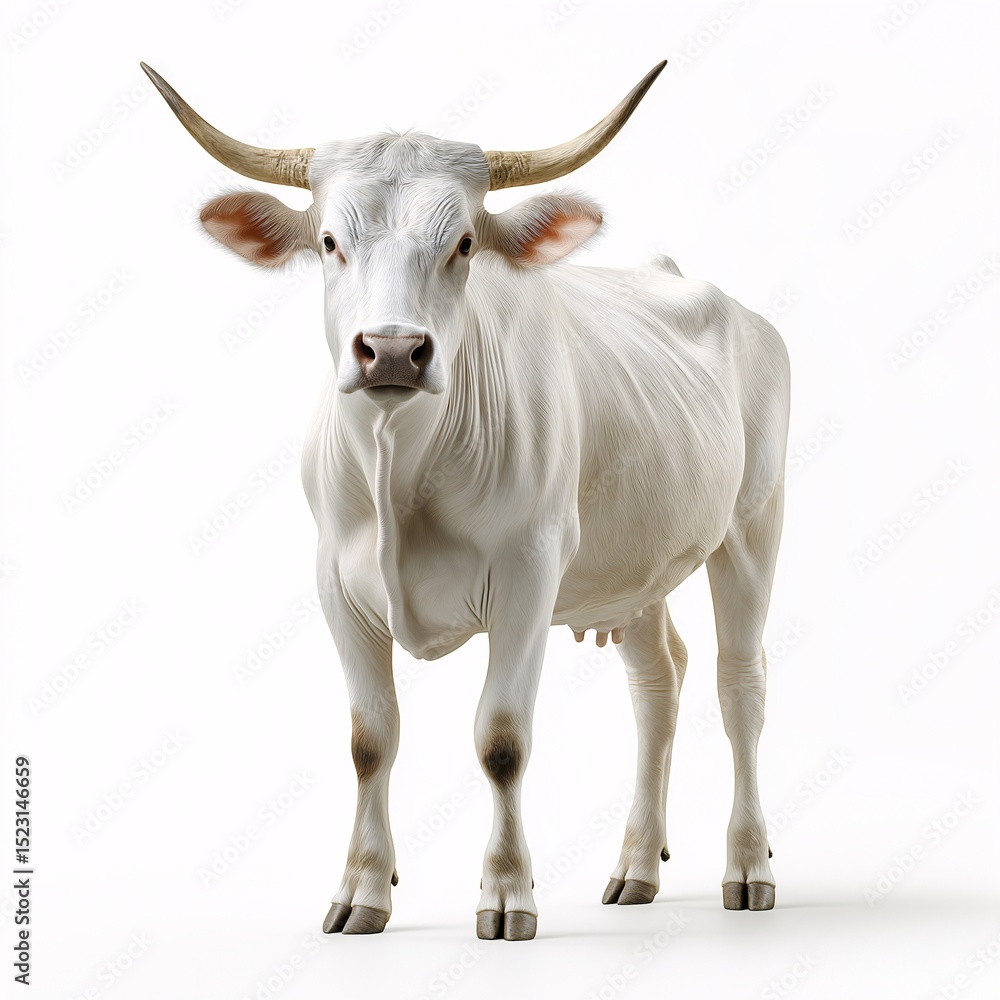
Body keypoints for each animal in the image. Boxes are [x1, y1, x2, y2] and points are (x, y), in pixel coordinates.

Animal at [143, 59, 790, 941]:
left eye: (464, 244)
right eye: (329, 242)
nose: (391, 350)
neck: (400, 474)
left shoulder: (529, 574)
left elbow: (501, 739)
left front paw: (508, 893)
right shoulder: (335, 584)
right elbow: (369, 740)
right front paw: (362, 890)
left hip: (751, 528)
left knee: (740, 688)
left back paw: (748, 867)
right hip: (635, 562)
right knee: (659, 684)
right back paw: (635, 867)